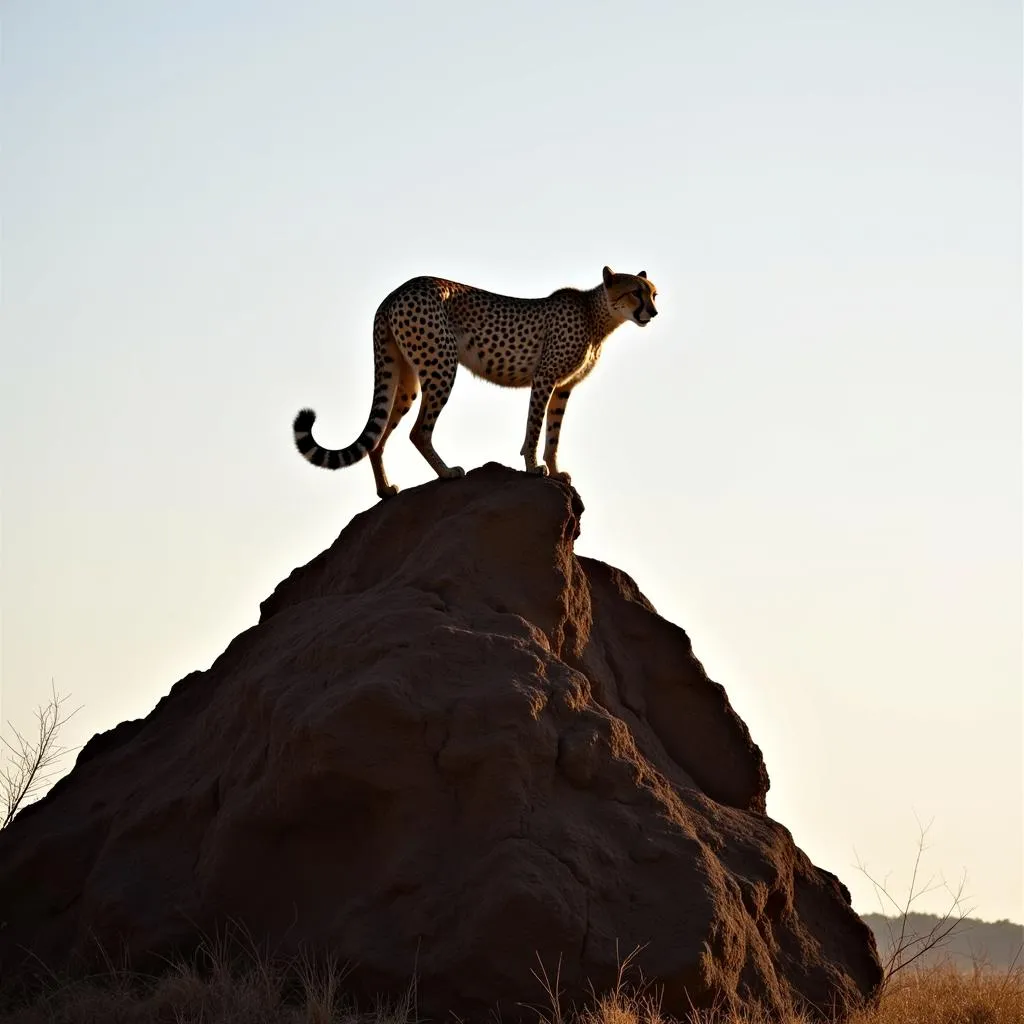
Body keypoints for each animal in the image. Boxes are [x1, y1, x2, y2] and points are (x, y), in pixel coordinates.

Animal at [290, 264, 655, 499]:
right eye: (635, 293)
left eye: (654, 294)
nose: (652, 313)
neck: (597, 315)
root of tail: (397, 290)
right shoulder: (545, 378)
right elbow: (535, 428)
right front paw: (533, 467)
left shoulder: (563, 387)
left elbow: (554, 433)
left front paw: (554, 469)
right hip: (441, 365)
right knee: (418, 431)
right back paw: (447, 473)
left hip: (405, 379)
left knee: (378, 438)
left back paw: (385, 490)